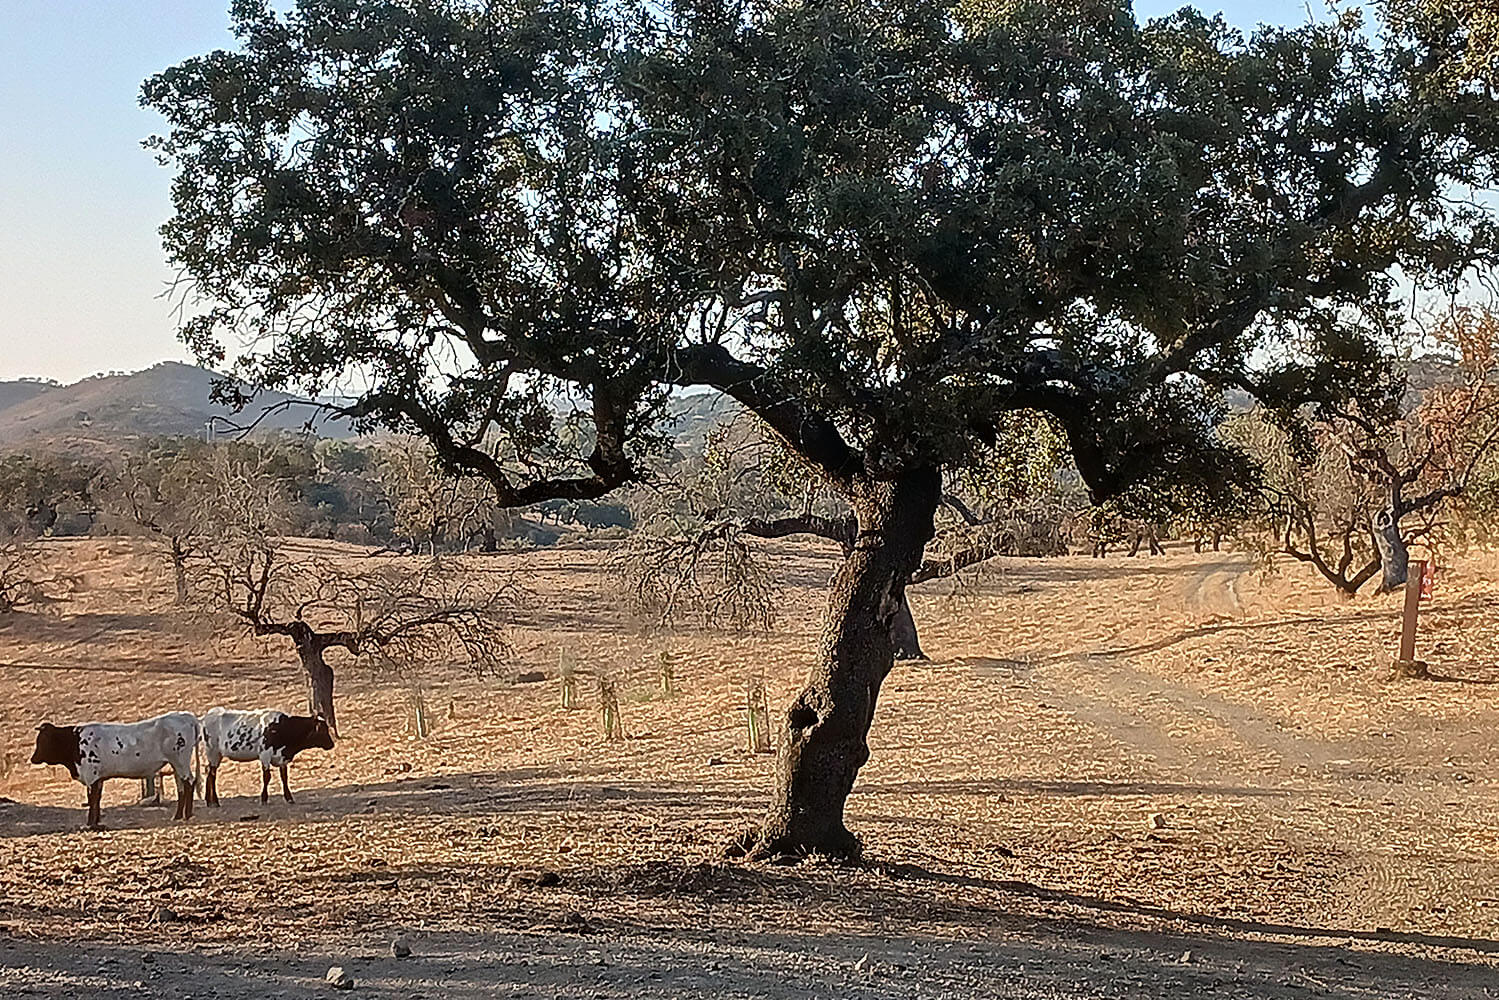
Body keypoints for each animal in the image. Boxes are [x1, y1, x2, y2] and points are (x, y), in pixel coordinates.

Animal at [31, 710, 200, 827]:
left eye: (43, 740)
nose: (33, 758)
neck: (77, 742)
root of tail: (186, 716)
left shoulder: (91, 776)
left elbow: (92, 799)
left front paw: (90, 823)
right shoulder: (98, 778)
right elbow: (97, 799)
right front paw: (96, 821)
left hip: (180, 761)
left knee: (189, 782)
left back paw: (187, 815)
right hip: (176, 764)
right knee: (181, 786)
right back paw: (178, 816)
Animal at [199, 707, 334, 809]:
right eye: (322, 730)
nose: (331, 744)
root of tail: (210, 714)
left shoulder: (282, 758)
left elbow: (284, 777)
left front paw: (289, 798)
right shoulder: (265, 755)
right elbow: (267, 777)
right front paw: (264, 799)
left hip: (216, 755)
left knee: (209, 773)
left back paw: (209, 801)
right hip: (213, 752)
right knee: (212, 775)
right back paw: (215, 802)